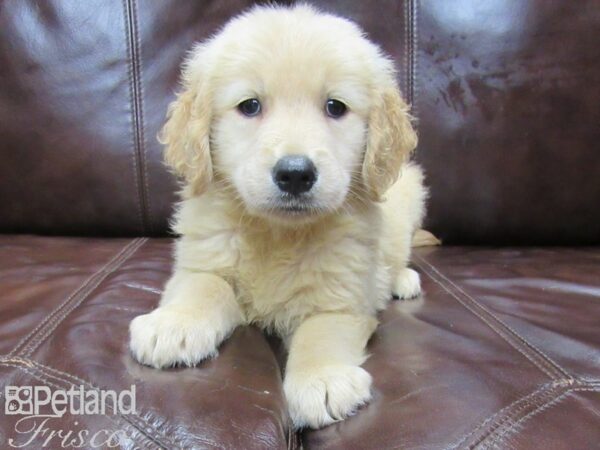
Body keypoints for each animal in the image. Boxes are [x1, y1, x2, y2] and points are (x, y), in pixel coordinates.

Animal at [129, 5, 426, 430]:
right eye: (250, 106)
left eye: (335, 107)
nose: (295, 174)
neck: (278, 233)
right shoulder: (204, 260)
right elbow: (203, 286)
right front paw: (174, 324)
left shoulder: (344, 297)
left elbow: (321, 331)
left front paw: (322, 379)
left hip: (410, 192)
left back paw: (402, 279)